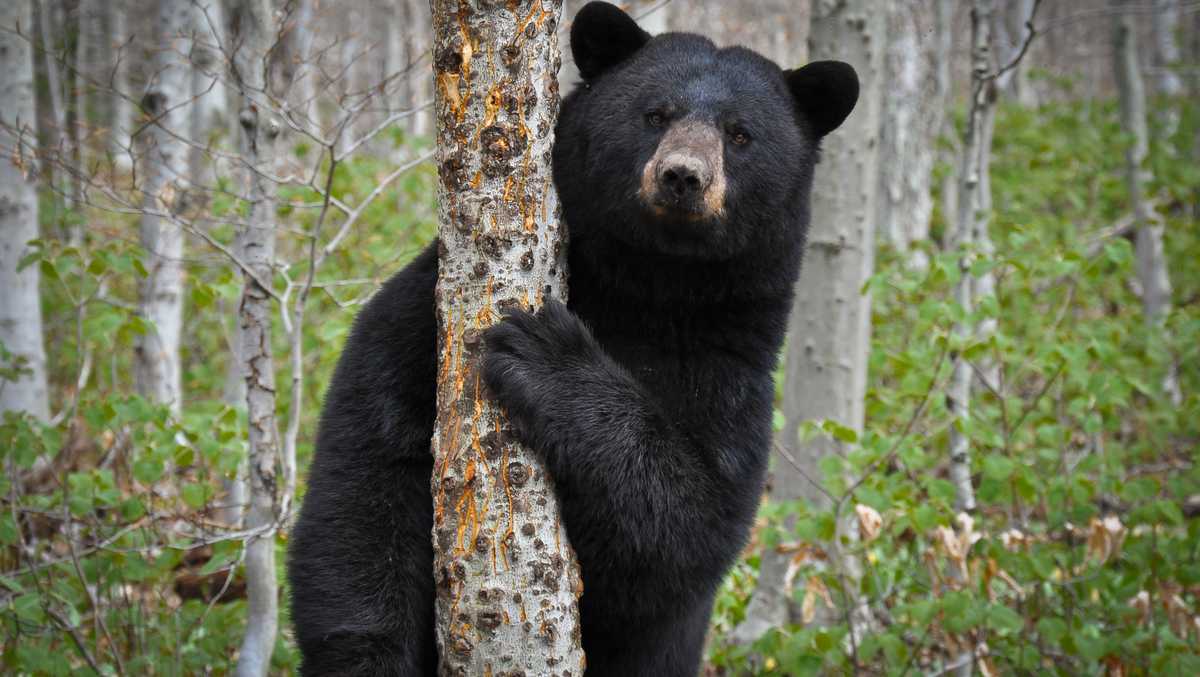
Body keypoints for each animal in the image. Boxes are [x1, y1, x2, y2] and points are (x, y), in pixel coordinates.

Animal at [286, 2, 859, 672]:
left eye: (740, 134)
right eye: (655, 114)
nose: (682, 176)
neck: (648, 285)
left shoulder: (731, 373)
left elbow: (687, 530)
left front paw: (548, 355)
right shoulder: (419, 319)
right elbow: (368, 472)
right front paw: (369, 655)